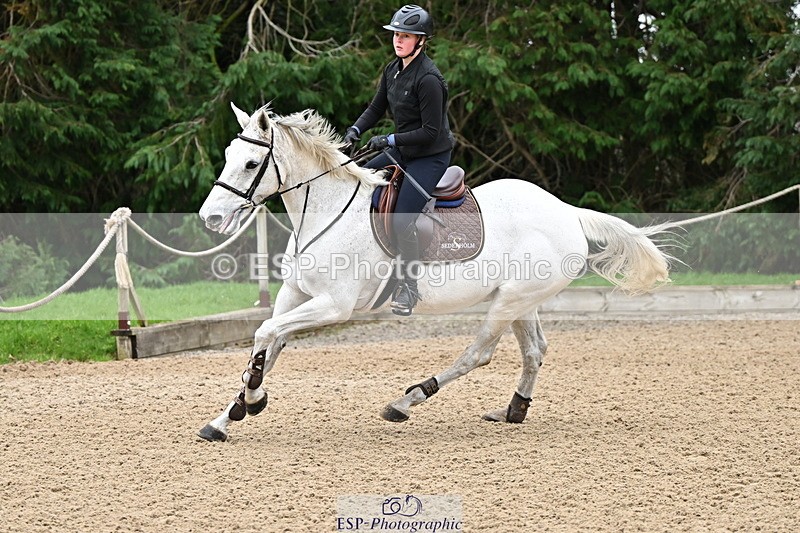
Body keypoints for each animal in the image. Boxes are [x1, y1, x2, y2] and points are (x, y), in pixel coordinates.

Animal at [196, 103, 670, 442]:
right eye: (229, 155)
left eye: (251, 164)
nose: (210, 217)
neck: (326, 211)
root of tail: (566, 211)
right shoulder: (295, 295)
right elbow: (269, 342)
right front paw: (231, 413)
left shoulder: (334, 305)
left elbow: (265, 334)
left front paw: (250, 401)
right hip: (522, 300)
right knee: (534, 351)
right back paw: (513, 410)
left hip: (510, 301)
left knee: (478, 353)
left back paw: (406, 401)